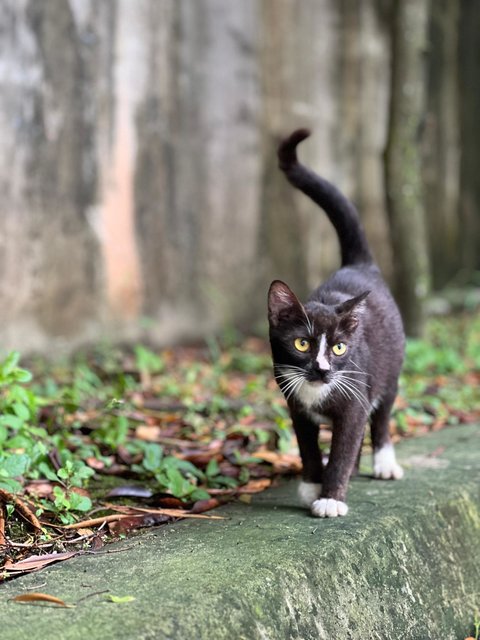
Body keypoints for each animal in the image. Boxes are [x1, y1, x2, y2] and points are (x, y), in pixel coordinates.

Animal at [268, 127, 404, 516]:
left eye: (341, 348)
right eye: (302, 343)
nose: (323, 369)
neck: (317, 394)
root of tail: (358, 264)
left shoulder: (354, 395)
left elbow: (345, 444)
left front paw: (330, 498)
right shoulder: (295, 405)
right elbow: (308, 445)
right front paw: (312, 485)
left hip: (388, 370)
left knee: (382, 415)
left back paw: (384, 463)